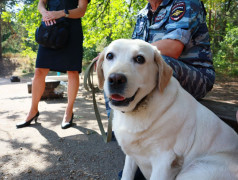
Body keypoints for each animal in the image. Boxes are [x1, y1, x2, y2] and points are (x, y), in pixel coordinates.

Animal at [96, 38, 238, 179]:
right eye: (109, 56)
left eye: (139, 59)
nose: (115, 79)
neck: (138, 108)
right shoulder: (132, 155)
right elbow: (127, 174)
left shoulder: (163, 160)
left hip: (196, 169)